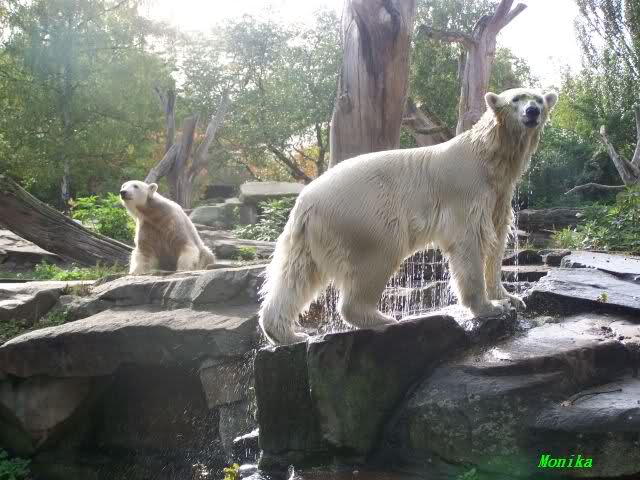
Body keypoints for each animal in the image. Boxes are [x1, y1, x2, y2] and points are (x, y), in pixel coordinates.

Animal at [258, 88, 558, 345]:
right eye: (516, 99)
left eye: (538, 99)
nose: (532, 111)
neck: (489, 158)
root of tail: (305, 201)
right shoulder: (466, 191)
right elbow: (469, 241)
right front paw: (489, 307)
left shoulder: (498, 195)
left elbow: (496, 240)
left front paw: (510, 298)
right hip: (364, 214)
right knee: (379, 254)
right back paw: (383, 318)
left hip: (311, 234)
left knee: (297, 274)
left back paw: (286, 333)